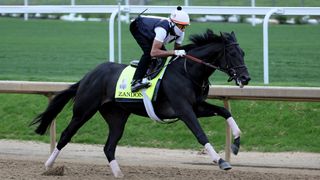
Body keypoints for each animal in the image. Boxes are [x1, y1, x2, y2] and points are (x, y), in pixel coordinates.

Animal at [30, 29, 250, 177]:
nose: (246, 78)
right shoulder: (184, 110)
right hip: (84, 110)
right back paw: (48, 166)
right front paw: (221, 161)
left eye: (243, 53)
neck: (187, 72)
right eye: (232, 54)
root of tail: (89, 75)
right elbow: (200, 133)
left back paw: (118, 174)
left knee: (109, 147)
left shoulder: (197, 106)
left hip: (117, 116)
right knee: (66, 135)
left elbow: (224, 111)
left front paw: (236, 143)